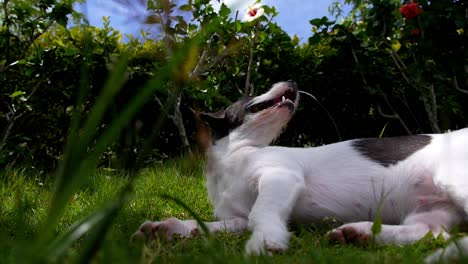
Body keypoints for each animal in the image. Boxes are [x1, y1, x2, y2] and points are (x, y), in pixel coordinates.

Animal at [132, 81, 468, 262]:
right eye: (249, 95)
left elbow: (260, 216)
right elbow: (208, 225)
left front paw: (266, 241)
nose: (293, 83)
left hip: (455, 182)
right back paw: (359, 235)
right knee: (429, 231)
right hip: (432, 210)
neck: (235, 157)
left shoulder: (280, 176)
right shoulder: (234, 218)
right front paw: (167, 228)